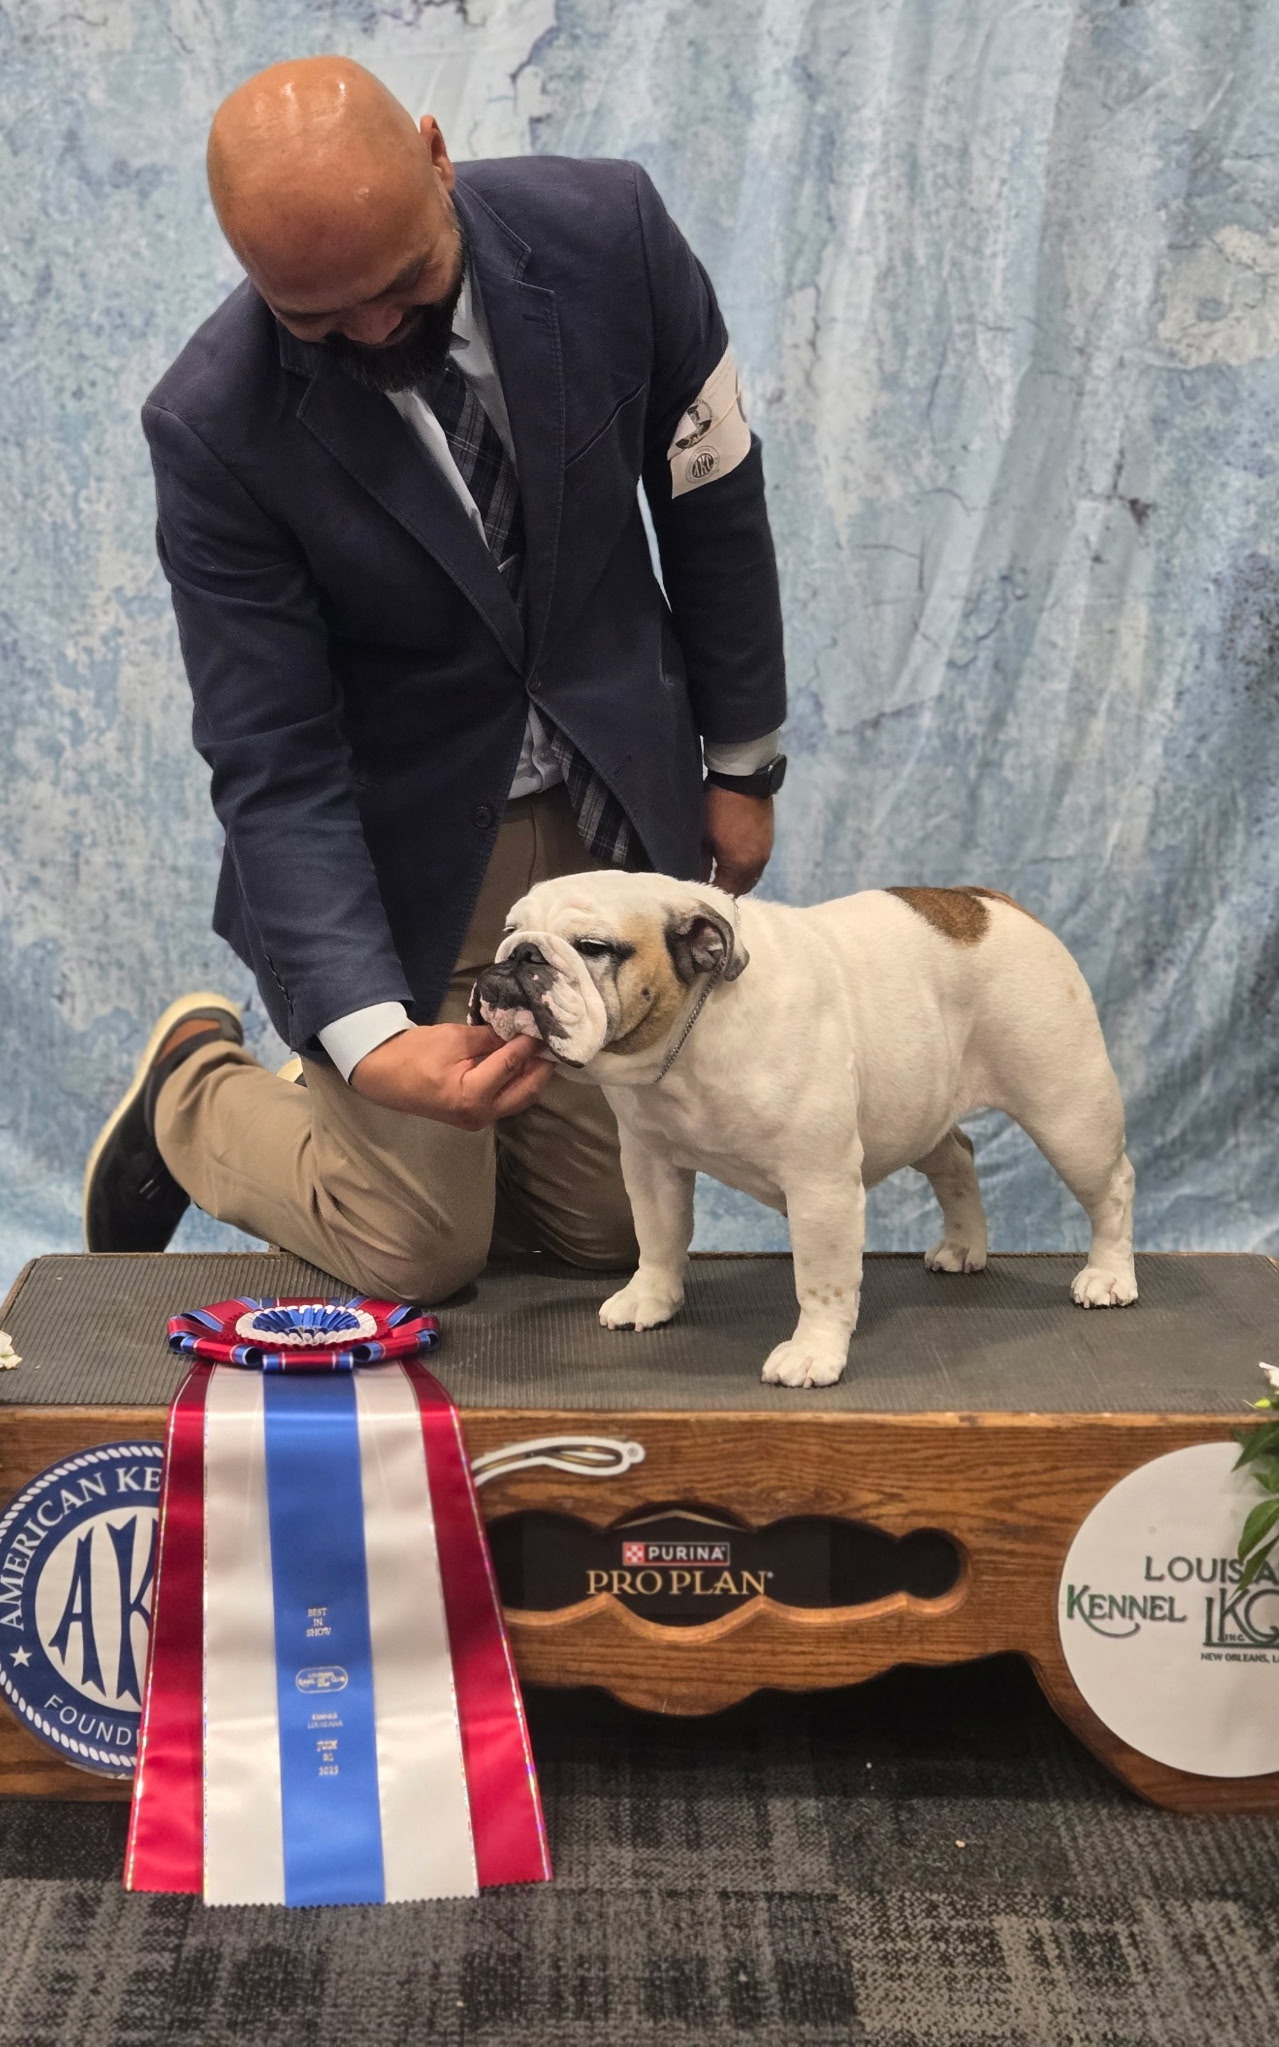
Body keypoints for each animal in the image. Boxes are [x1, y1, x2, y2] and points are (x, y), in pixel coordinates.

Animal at [472, 874, 1137, 1388]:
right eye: (508, 931)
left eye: (592, 947)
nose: (520, 956)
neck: (694, 1031)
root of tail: (992, 901)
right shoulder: (651, 1165)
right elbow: (658, 1238)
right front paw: (651, 1298)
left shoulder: (821, 1187)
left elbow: (821, 1280)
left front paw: (814, 1353)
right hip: (921, 1108)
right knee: (957, 1158)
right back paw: (964, 1246)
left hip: (1067, 1111)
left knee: (1112, 1187)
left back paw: (1108, 1276)